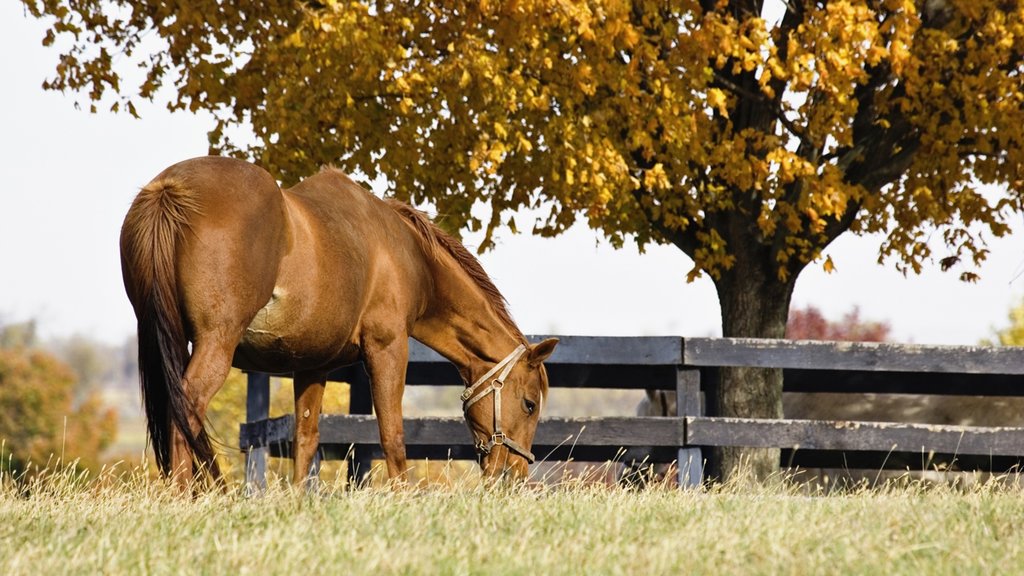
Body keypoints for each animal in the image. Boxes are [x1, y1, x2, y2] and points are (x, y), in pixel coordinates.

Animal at [119, 153, 561, 483]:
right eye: (528, 404)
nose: (515, 474)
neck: (406, 256)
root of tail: (170, 189)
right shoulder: (387, 349)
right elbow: (392, 434)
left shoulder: (310, 366)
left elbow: (305, 439)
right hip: (216, 343)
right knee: (186, 406)